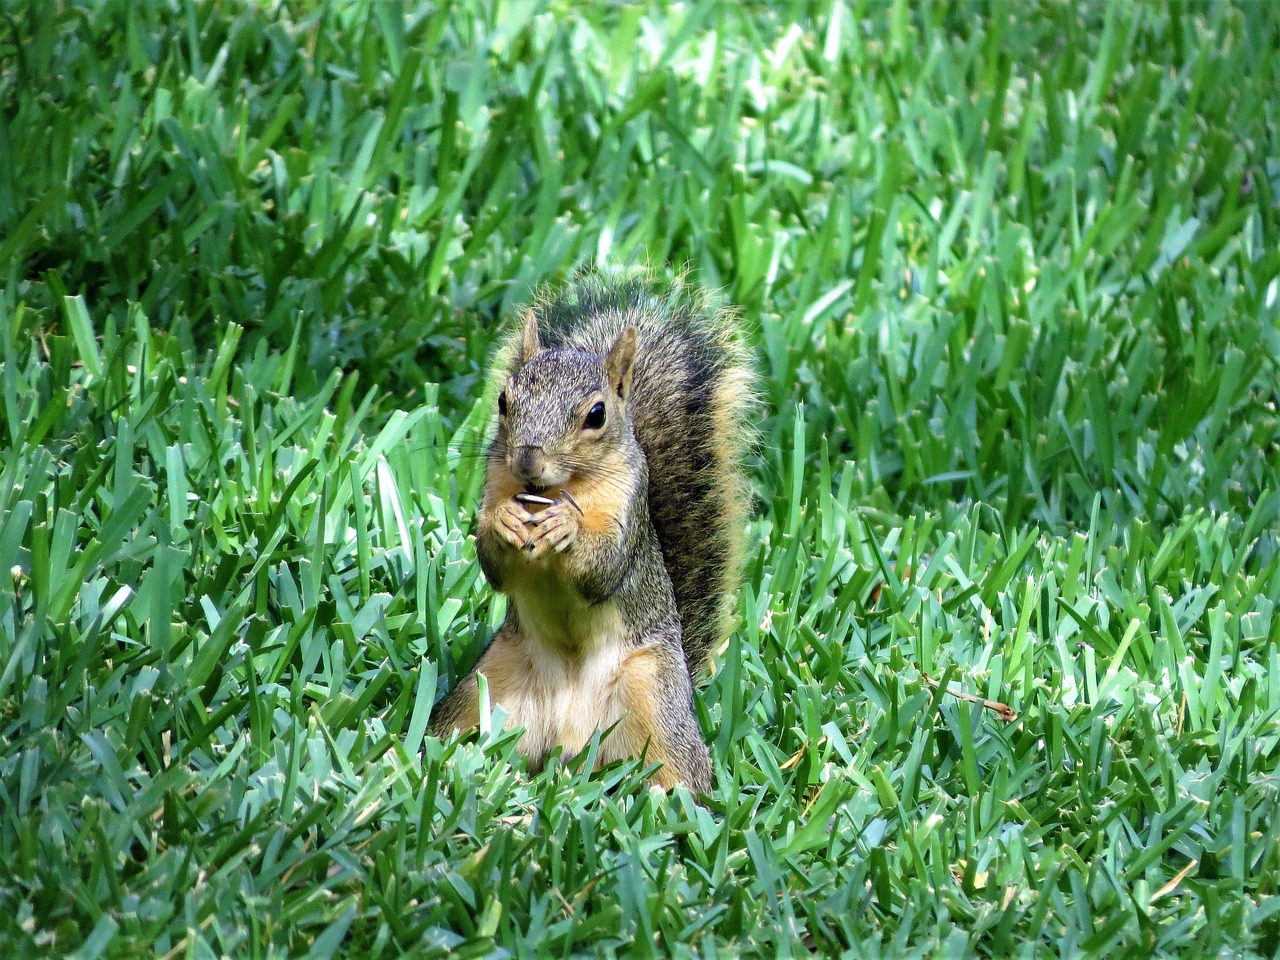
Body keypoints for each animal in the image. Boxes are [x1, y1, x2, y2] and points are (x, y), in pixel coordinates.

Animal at [430, 272, 752, 798]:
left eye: (596, 415)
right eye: (503, 401)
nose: (527, 459)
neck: (556, 490)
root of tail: (569, 741)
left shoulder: (628, 510)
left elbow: (602, 570)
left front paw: (568, 527)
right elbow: (495, 569)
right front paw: (503, 522)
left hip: (654, 696)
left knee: (680, 773)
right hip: (486, 688)